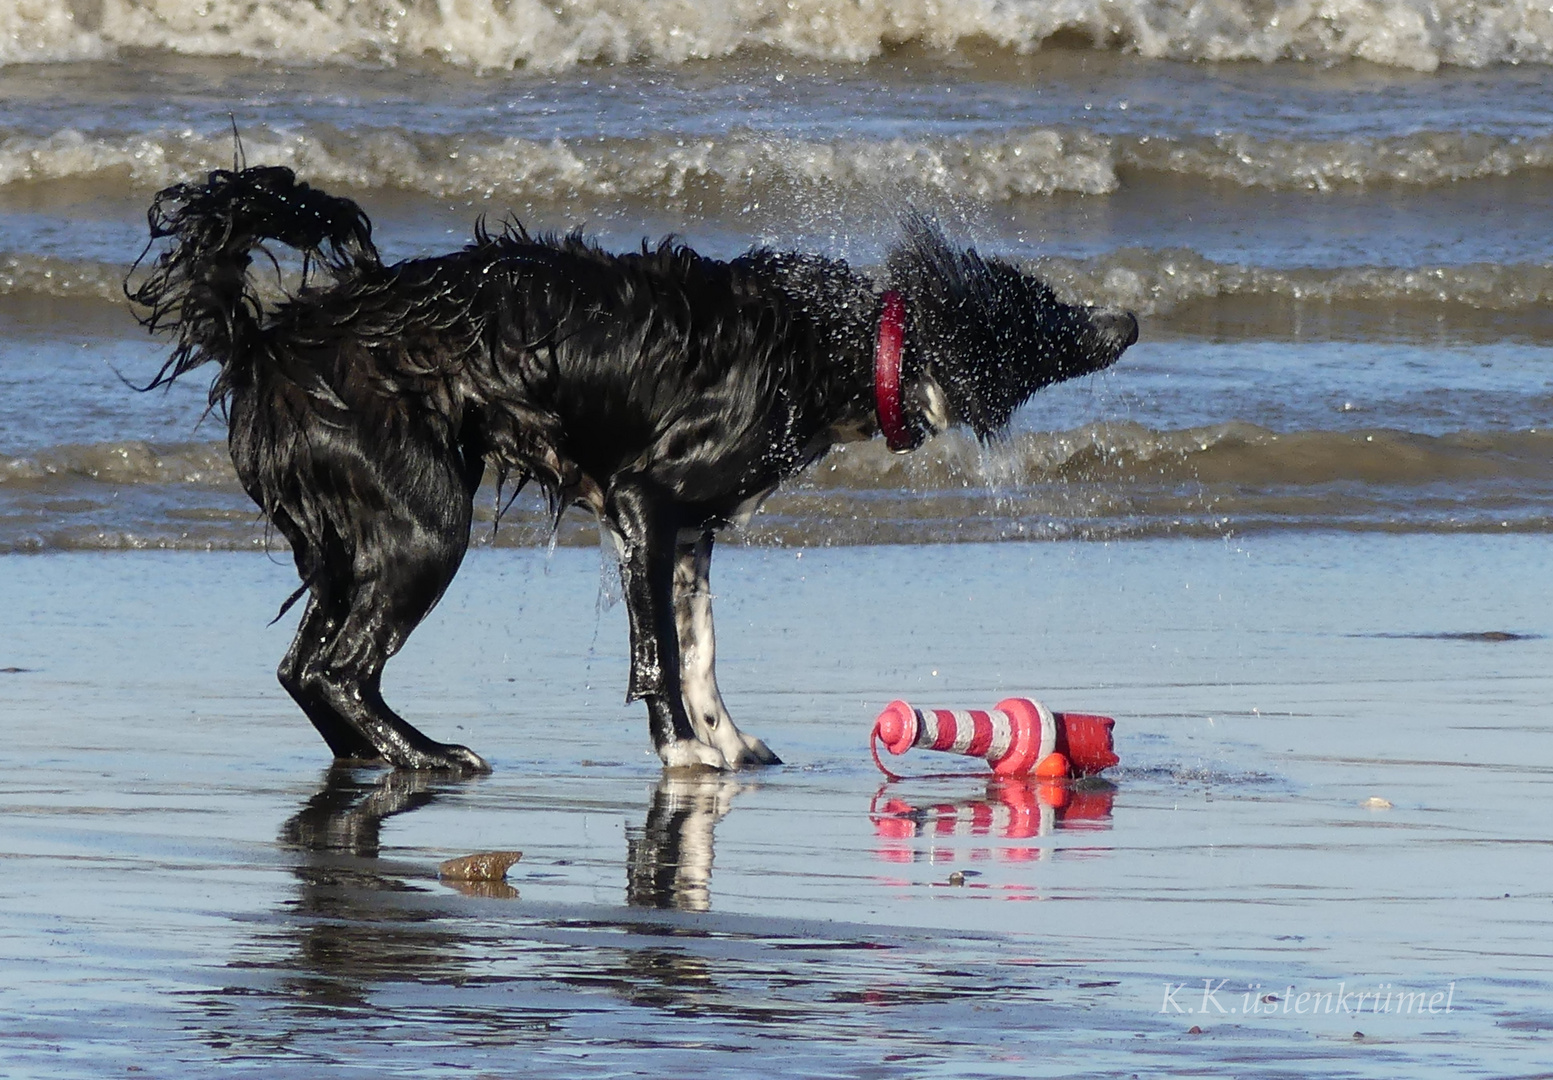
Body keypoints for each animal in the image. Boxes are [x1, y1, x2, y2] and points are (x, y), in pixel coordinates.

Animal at [127, 164, 1136, 773]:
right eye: (1039, 313)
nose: (1128, 322)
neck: (844, 344)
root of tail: (267, 339)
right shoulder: (642, 500)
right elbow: (656, 652)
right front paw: (682, 749)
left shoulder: (685, 529)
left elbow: (698, 646)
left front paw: (725, 740)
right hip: (422, 526)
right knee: (340, 668)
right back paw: (427, 757)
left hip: (352, 536)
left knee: (303, 667)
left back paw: (372, 762)